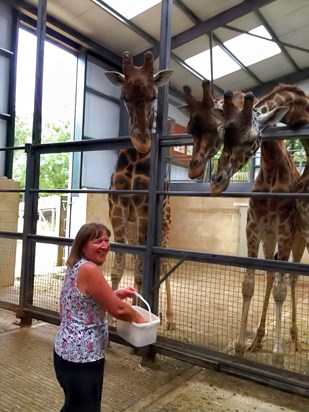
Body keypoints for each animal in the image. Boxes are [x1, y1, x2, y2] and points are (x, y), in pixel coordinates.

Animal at [104, 50, 174, 328]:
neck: (135, 159)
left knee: (162, 265)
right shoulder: (118, 209)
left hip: (163, 228)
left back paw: (170, 319)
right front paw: (113, 322)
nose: (142, 141)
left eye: (153, 95)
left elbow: (143, 271)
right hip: (134, 228)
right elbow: (119, 267)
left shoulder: (145, 211)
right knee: (137, 262)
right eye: (124, 96)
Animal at [207, 83, 308, 364]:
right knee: (273, 274)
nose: (216, 182)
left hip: (298, 239)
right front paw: (241, 345)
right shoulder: (254, 228)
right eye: (221, 133)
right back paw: (259, 338)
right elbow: (249, 285)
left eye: (252, 139)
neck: (272, 169)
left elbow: (281, 290)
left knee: (292, 277)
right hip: (271, 238)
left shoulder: (286, 232)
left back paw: (295, 339)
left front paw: (278, 355)